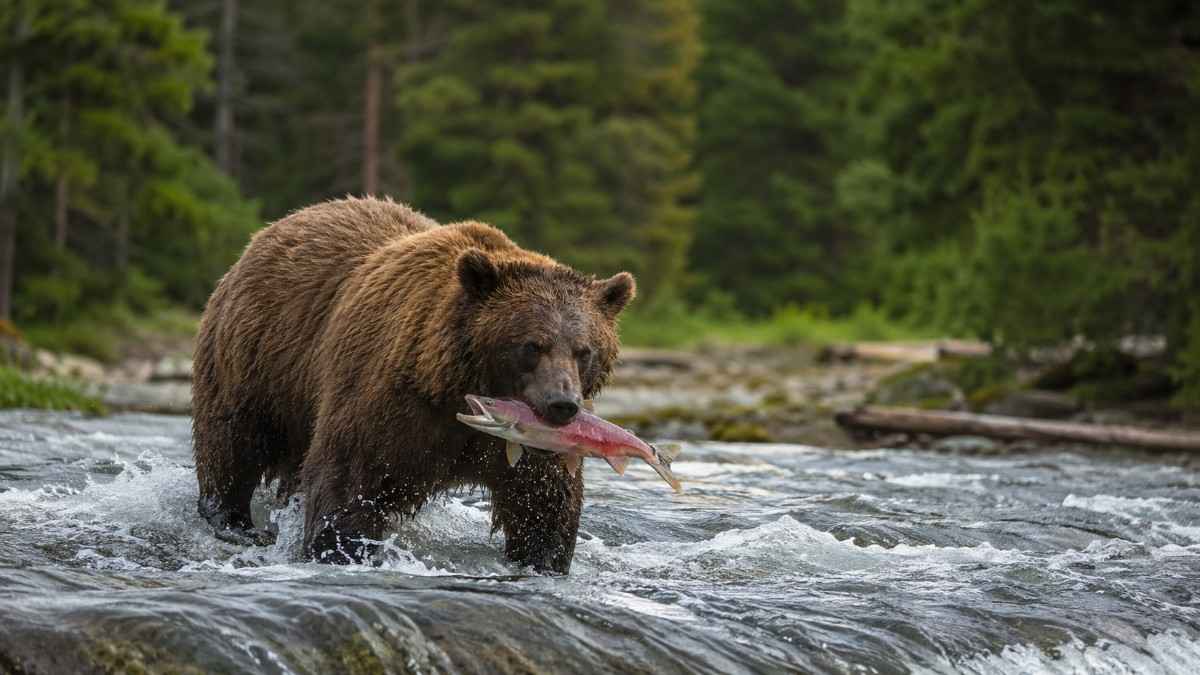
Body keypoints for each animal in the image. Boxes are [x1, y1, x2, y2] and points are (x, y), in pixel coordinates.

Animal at [191, 197, 635, 573]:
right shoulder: (390, 400)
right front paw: (340, 548)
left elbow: (543, 501)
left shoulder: (526, 445)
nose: (562, 404)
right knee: (233, 437)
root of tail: (273, 228)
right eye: (531, 345)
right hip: (257, 357)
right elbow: (351, 478)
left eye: (584, 350)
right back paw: (233, 520)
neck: (457, 388)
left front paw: (542, 559)